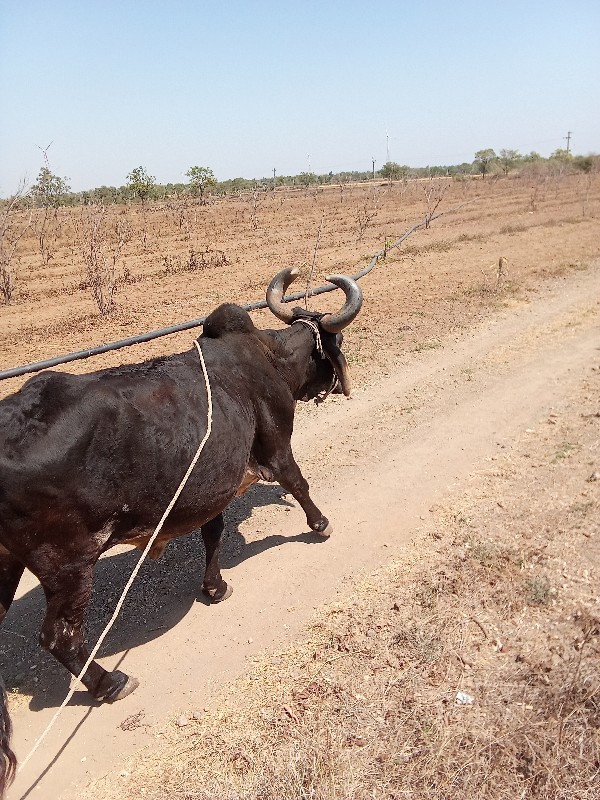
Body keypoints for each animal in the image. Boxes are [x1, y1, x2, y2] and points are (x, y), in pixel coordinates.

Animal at [0, 266, 360, 784]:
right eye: (339, 342)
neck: (268, 358)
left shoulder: (210, 487)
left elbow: (214, 533)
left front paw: (214, 586)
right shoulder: (275, 447)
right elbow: (298, 481)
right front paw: (321, 524)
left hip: (8, 565)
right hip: (68, 564)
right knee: (60, 637)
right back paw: (111, 683)